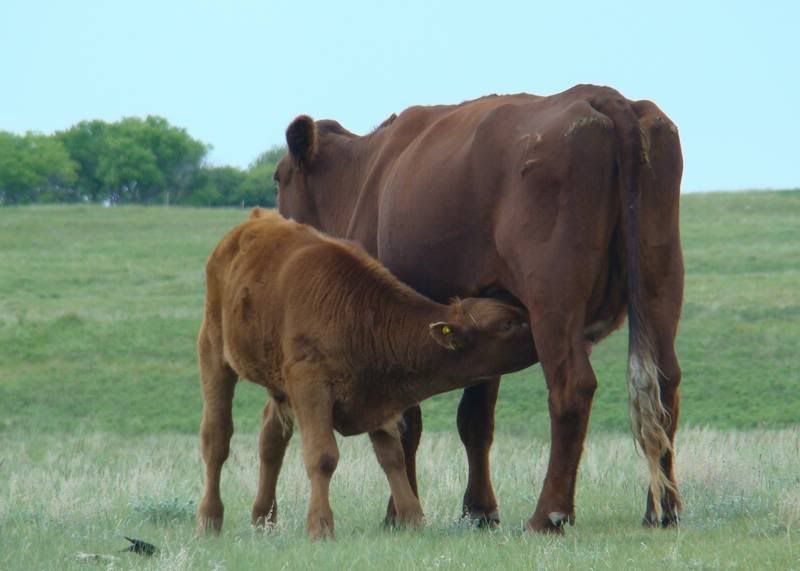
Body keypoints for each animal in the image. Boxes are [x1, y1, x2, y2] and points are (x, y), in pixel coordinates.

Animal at [195, 209, 534, 540]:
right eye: (507, 324)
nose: (538, 331)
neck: (358, 314)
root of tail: (253, 221)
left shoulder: (377, 395)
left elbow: (393, 457)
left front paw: (413, 519)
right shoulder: (310, 387)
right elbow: (323, 456)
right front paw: (321, 526)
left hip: (277, 383)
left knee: (271, 439)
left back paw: (262, 519)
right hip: (214, 353)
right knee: (217, 438)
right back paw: (209, 519)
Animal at [273, 84, 684, 532]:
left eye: (277, 178)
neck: (363, 179)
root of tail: (601, 95)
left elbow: (405, 419)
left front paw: (400, 513)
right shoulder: (487, 323)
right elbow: (474, 419)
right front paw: (479, 510)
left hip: (553, 298)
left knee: (572, 387)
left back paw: (548, 514)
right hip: (660, 282)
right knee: (664, 382)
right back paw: (662, 509)